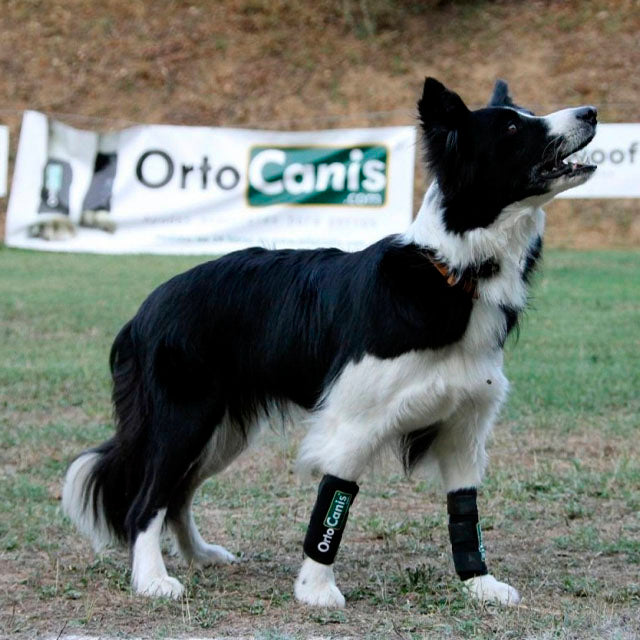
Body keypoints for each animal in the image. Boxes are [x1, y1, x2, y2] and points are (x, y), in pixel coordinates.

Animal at [62, 77, 596, 608]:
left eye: (528, 114)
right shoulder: (354, 421)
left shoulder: (465, 425)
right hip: (183, 419)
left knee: (178, 493)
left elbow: (464, 508)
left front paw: (480, 583)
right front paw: (316, 590)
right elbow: (334, 501)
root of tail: (144, 309)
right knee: (146, 500)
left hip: (221, 430)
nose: (590, 112)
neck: (454, 271)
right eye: (511, 128)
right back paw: (153, 580)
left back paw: (199, 555)